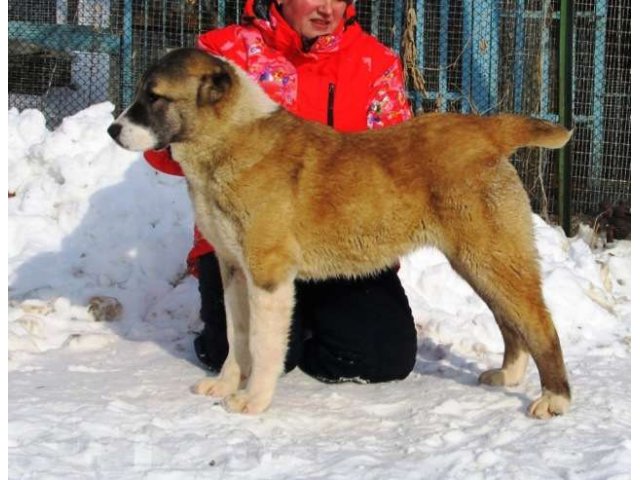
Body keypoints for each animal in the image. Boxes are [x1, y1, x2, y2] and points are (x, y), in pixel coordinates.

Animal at [107, 47, 572, 418]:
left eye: (155, 96)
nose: (112, 129)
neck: (230, 138)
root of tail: (486, 130)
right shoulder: (234, 270)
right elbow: (236, 335)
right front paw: (225, 385)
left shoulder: (268, 276)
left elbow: (261, 343)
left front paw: (253, 402)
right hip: (480, 263)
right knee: (511, 322)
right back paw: (508, 375)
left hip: (493, 257)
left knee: (540, 323)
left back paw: (555, 399)